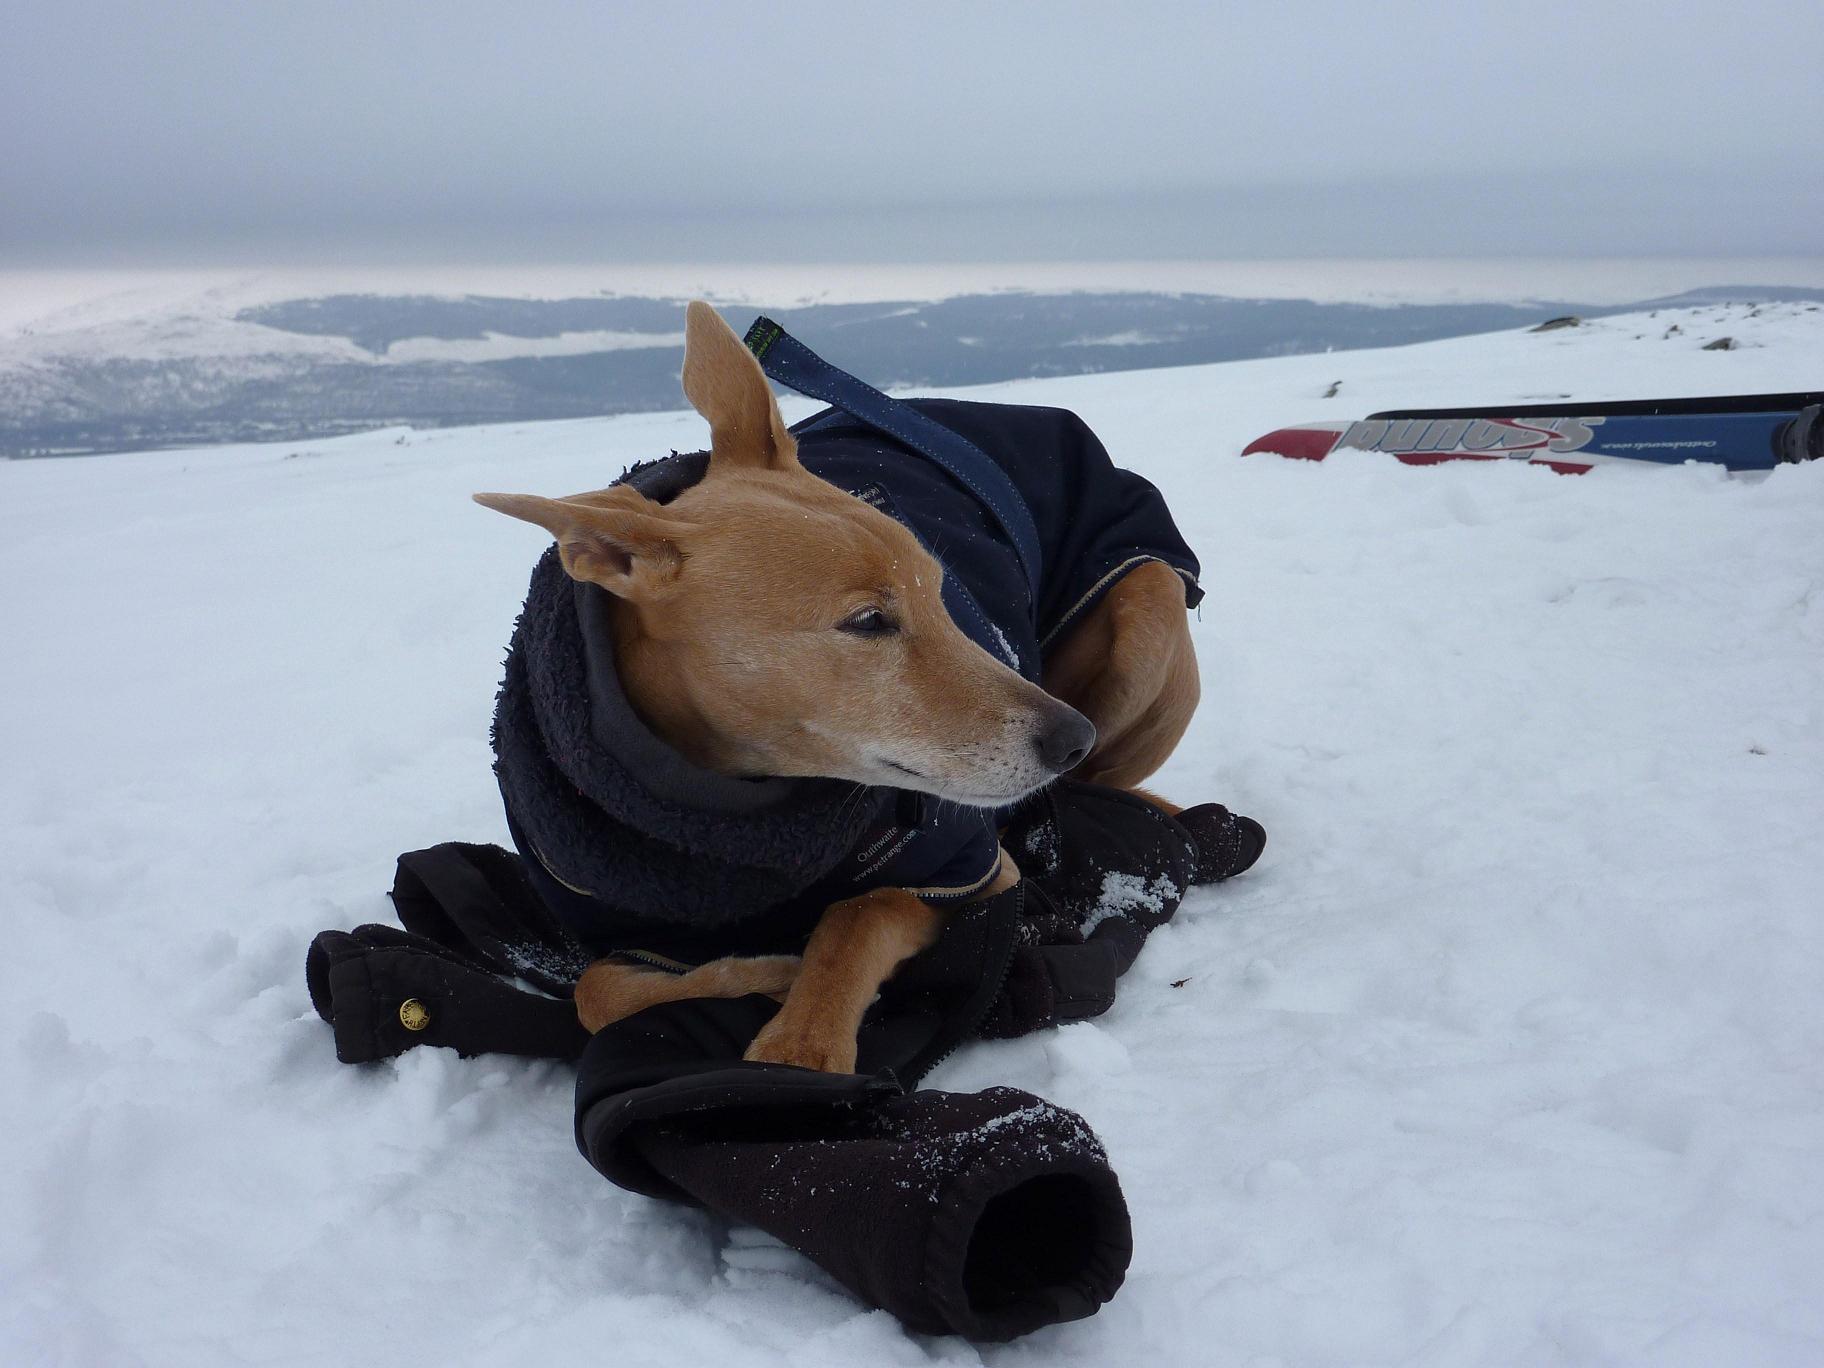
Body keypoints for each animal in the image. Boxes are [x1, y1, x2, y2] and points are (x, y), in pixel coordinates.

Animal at [475, 301, 1213, 1074]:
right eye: (867, 622)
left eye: (941, 591)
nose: (1073, 737)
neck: (736, 805)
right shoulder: (620, 922)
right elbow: (596, 990)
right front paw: (763, 976)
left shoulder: (973, 870)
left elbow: (858, 915)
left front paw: (801, 1036)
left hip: (1148, 605)